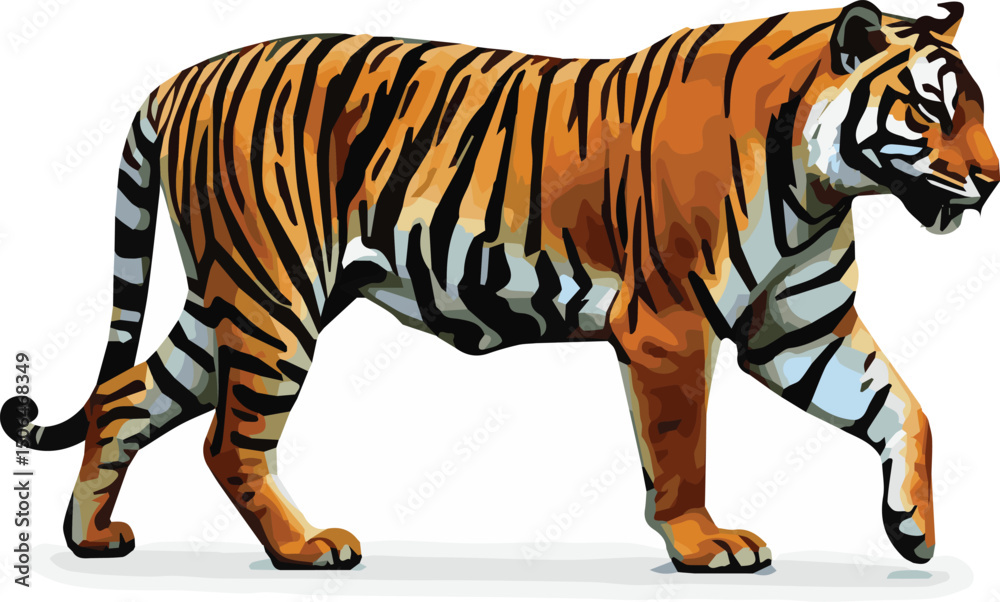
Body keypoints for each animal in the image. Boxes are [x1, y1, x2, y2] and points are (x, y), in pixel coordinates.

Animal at [2, 0, 996, 573]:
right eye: (931, 108)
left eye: (977, 108)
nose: (991, 180)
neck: (822, 181)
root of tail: (177, 79)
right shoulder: (669, 323)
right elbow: (683, 450)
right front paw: (702, 544)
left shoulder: (800, 327)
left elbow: (905, 410)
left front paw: (914, 530)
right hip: (271, 297)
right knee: (227, 443)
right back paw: (307, 548)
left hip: (232, 303)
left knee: (128, 398)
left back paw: (91, 539)